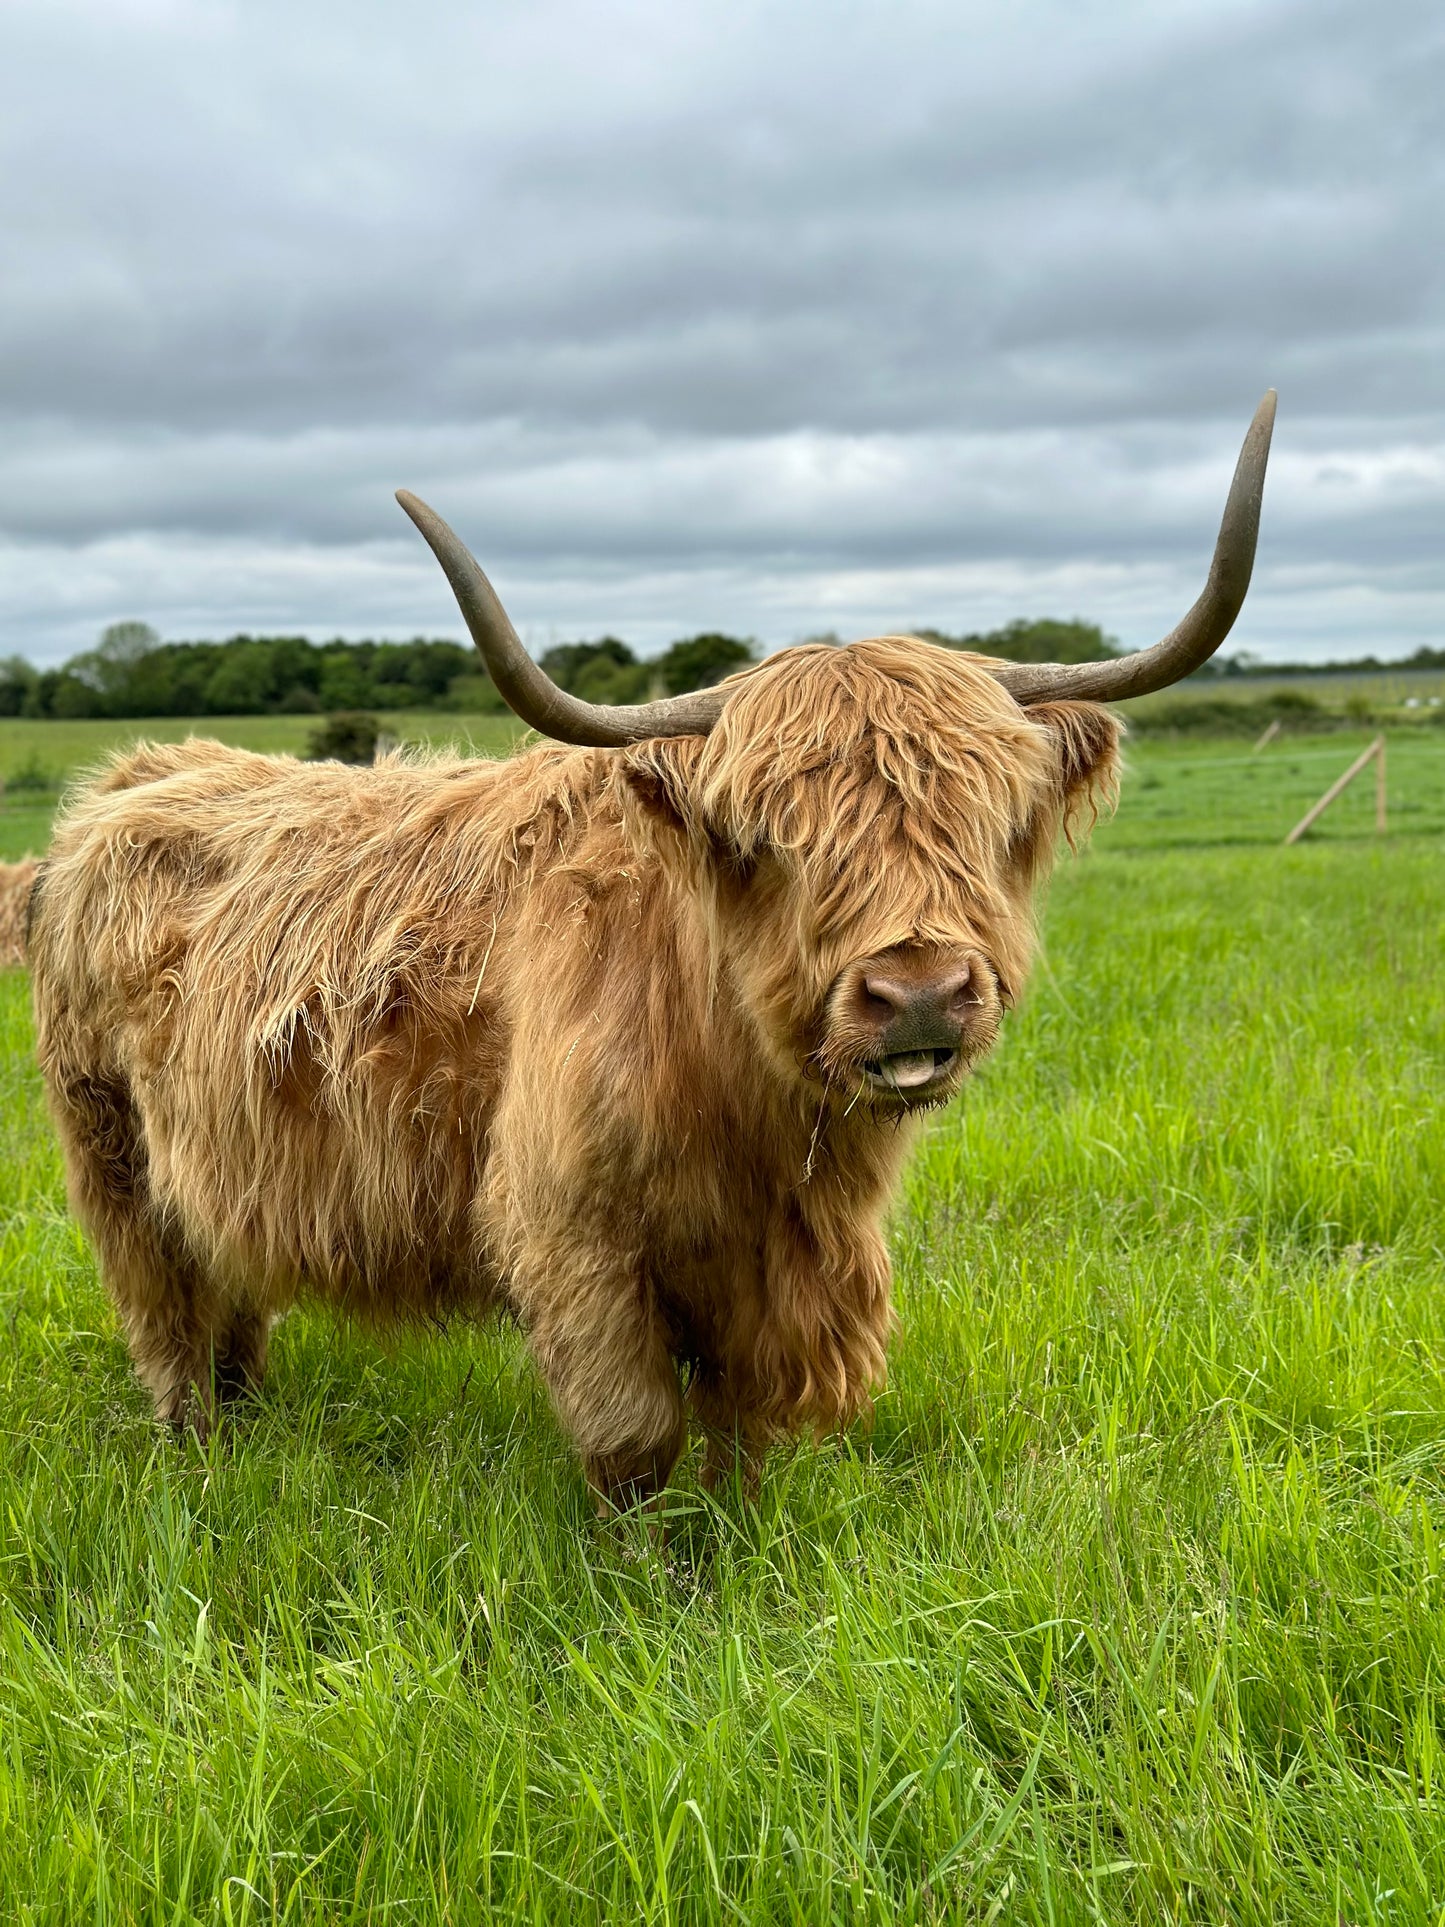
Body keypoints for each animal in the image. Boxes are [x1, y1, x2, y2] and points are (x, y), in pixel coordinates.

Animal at [29, 395, 1275, 1509]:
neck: (749, 1115)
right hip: (110, 1151)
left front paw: (740, 1549)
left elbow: (738, 1438)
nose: (918, 992)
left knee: (229, 1302)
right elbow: (633, 1443)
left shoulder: (766, 1276)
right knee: (166, 1318)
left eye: (990, 822)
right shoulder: (571, 1237)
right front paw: (654, 1588)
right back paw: (199, 1458)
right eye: (760, 839)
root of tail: (130, 780)